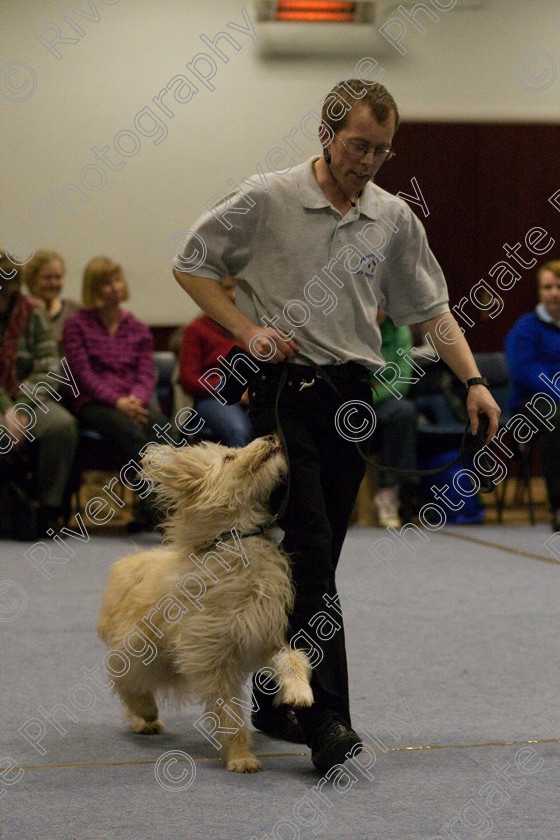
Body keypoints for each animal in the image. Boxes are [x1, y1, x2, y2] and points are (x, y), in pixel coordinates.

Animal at [98, 436, 312, 772]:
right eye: (229, 458)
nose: (270, 437)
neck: (236, 540)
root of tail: (126, 566)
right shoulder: (212, 656)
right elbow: (229, 713)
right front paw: (240, 756)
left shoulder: (262, 635)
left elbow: (292, 658)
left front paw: (300, 691)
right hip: (142, 648)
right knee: (127, 680)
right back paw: (144, 713)